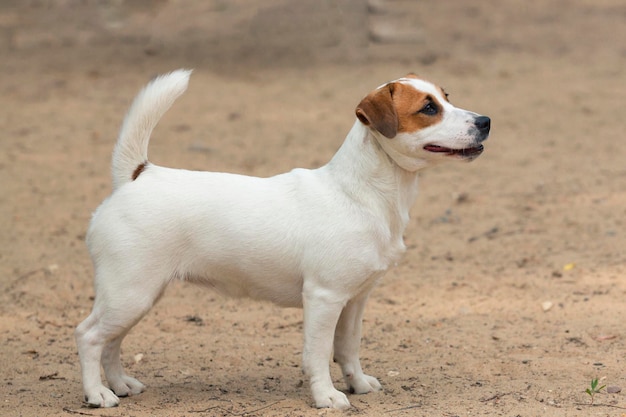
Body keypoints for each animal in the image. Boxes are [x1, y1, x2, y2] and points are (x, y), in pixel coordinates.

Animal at [75, 70, 490, 408]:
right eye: (428, 108)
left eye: (446, 97)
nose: (485, 121)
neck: (360, 193)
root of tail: (138, 174)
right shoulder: (324, 298)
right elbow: (318, 355)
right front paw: (326, 397)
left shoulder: (355, 300)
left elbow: (348, 348)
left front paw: (357, 385)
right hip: (130, 294)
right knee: (89, 336)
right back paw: (98, 395)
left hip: (137, 297)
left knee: (111, 343)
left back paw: (120, 385)